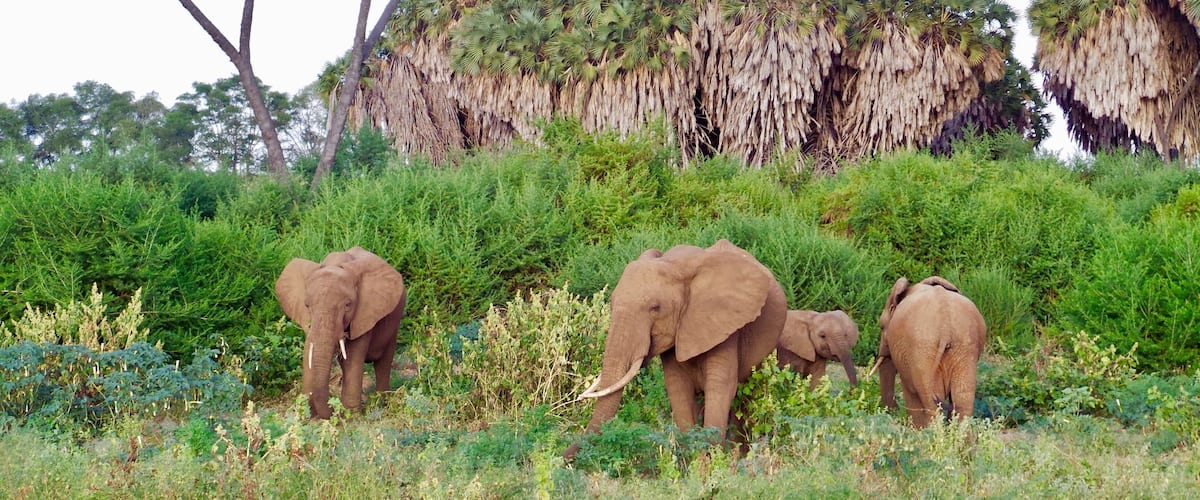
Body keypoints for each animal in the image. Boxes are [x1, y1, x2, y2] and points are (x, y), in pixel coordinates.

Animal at [275, 246, 406, 419]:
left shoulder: (364, 314)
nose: (332, 409)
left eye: (348, 305)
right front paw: (307, 414)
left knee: (383, 361)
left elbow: (352, 357)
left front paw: (351, 415)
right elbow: (309, 352)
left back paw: (381, 404)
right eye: (307, 305)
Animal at [564, 239, 787, 459]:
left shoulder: (727, 327)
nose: (562, 458)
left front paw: (712, 461)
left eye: (655, 308)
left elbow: (720, 387)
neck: (677, 266)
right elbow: (678, 388)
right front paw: (694, 461)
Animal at [876, 276, 986, 428]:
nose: (894, 411)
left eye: (881, 327)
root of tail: (945, 328)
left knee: (930, 397)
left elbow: (910, 390)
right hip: (964, 347)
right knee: (962, 397)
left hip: (923, 349)